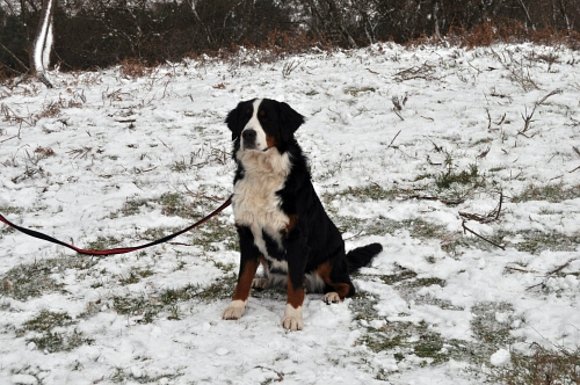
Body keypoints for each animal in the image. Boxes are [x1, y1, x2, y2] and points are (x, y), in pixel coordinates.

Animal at [221, 98, 380, 330]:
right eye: (245, 116)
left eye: (266, 118)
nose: (247, 134)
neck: (263, 175)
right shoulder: (248, 233)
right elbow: (243, 277)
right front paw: (236, 306)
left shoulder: (296, 238)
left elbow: (295, 284)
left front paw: (293, 317)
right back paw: (262, 280)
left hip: (329, 261)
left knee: (347, 286)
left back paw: (333, 294)